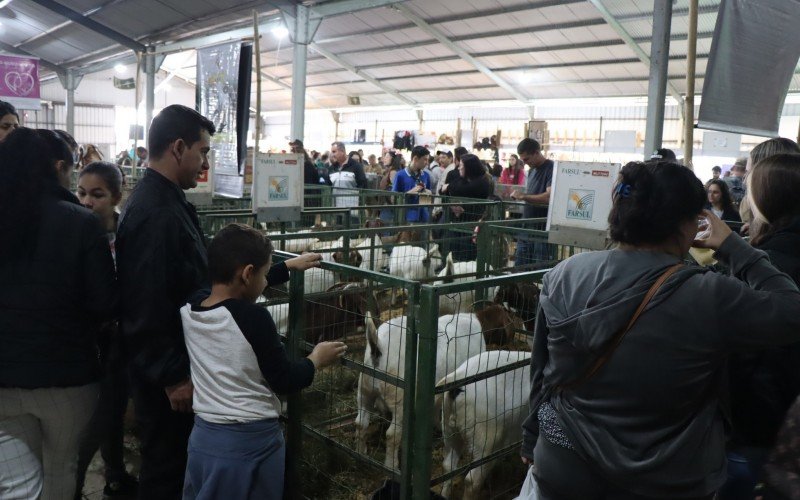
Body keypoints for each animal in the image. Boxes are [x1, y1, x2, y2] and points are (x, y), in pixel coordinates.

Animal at [358, 310, 488, 470]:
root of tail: (378, 348)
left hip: (364, 389)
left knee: (361, 423)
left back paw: (361, 454)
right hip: (399, 398)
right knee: (392, 434)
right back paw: (391, 465)